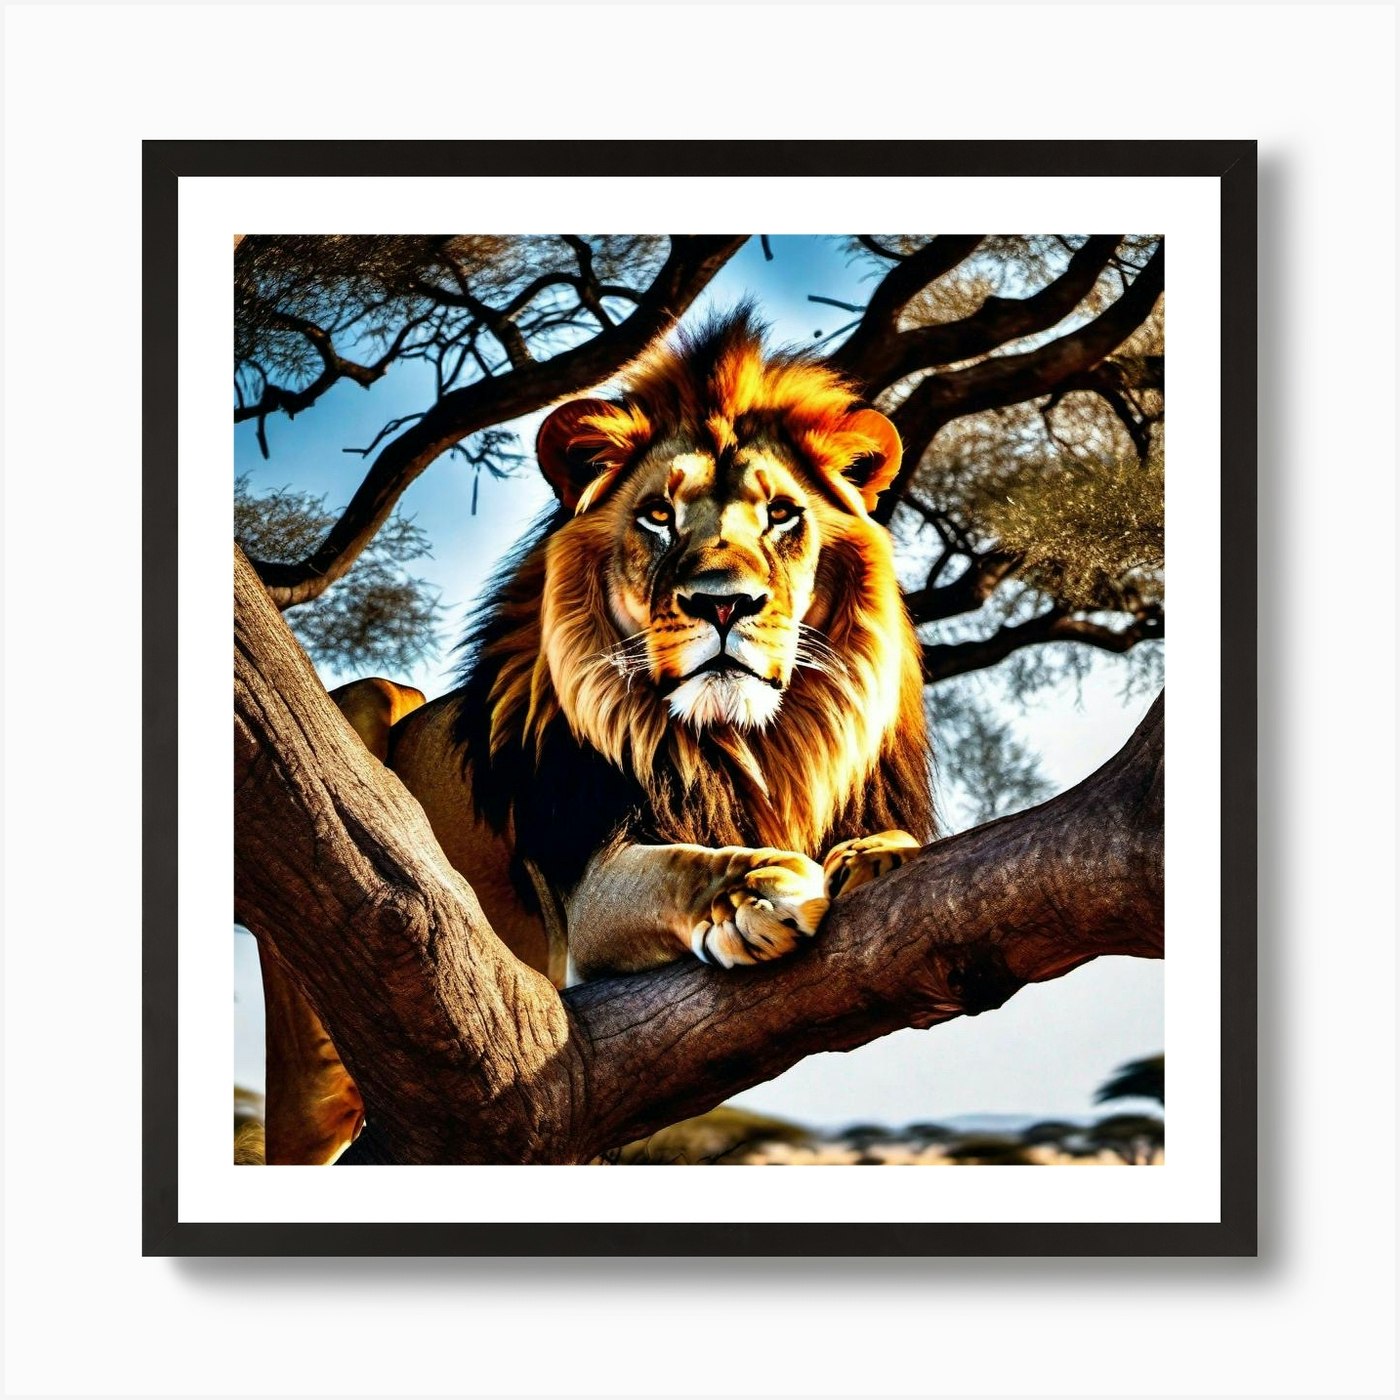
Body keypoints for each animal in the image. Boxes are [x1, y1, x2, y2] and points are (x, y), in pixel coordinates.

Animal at [257, 308, 937, 1164]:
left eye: (783, 514)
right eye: (658, 515)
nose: (723, 604)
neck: (750, 745)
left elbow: (896, 841)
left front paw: (876, 855)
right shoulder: (584, 891)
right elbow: (680, 865)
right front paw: (754, 889)